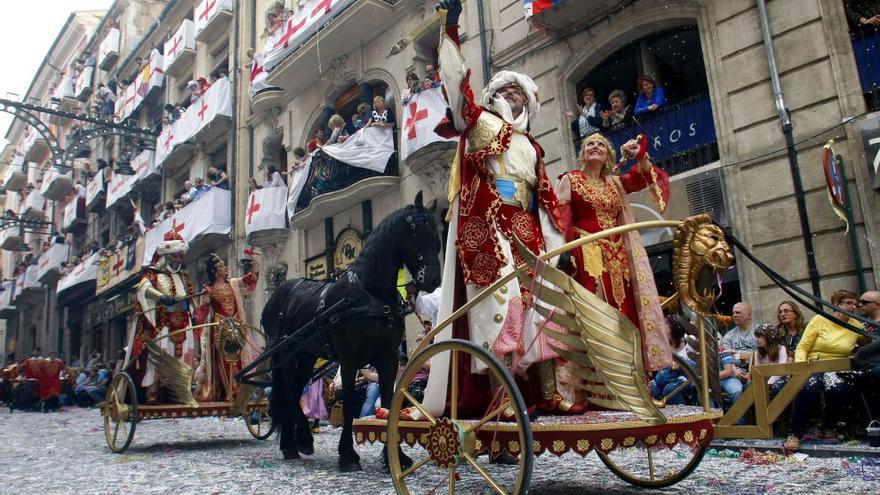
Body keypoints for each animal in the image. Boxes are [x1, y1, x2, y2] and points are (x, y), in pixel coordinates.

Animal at [260, 192, 440, 470]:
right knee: (289, 392)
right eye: (418, 233)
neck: (370, 296)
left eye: (437, 236)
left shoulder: (388, 359)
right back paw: (293, 443)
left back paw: (299, 441)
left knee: (294, 391)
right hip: (287, 356)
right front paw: (347, 455)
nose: (433, 280)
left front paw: (395, 458)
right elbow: (347, 407)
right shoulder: (349, 359)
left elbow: (388, 402)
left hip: (306, 356)